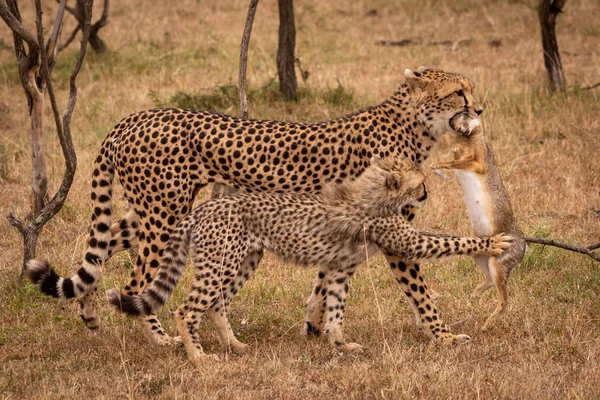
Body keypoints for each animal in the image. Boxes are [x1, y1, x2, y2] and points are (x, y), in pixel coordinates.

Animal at [29, 66, 488, 344]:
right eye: (458, 93)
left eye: (470, 90)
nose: (480, 109)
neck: (413, 126)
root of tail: (134, 117)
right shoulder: (393, 234)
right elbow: (420, 291)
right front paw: (444, 335)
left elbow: (326, 281)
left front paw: (315, 325)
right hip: (165, 214)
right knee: (135, 280)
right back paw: (161, 338)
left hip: (155, 212)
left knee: (101, 249)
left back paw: (90, 313)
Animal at [109, 158, 510, 364]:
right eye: (419, 182)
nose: (426, 192)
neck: (373, 191)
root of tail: (205, 207)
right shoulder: (404, 240)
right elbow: (449, 240)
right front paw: (493, 241)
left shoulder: (339, 268)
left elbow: (334, 310)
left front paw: (340, 345)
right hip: (219, 263)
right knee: (186, 309)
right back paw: (198, 357)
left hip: (243, 260)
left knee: (216, 304)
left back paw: (235, 346)